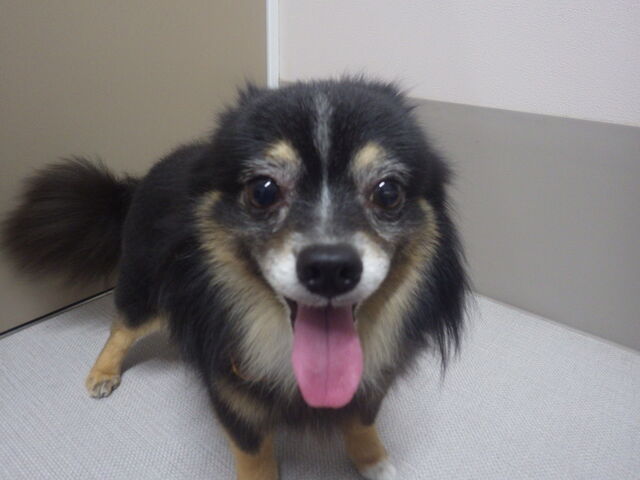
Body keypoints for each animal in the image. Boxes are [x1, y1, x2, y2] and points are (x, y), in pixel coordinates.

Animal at [2, 78, 467, 480]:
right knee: (123, 325)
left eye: (388, 192)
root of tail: (135, 184)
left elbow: (362, 420)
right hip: (148, 287)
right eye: (263, 190)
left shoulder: (374, 380)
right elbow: (254, 453)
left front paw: (373, 460)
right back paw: (103, 372)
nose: (330, 267)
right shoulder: (232, 395)